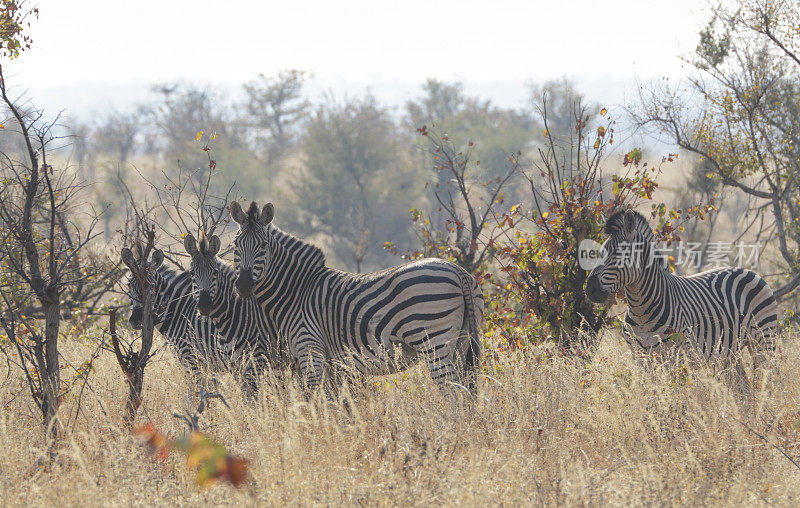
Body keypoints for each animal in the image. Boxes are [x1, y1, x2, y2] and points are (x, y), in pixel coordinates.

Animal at [121, 246, 262, 400]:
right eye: (128, 285)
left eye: (152, 286)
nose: (136, 320)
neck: (178, 313)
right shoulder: (205, 365)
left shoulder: (191, 360)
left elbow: (194, 395)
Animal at [228, 200, 484, 398]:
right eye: (235, 244)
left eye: (263, 245)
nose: (243, 286)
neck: (296, 290)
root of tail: (457, 271)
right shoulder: (331, 362)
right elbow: (336, 403)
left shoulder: (309, 348)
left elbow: (314, 400)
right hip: (462, 342)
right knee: (467, 392)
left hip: (434, 343)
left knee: (454, 394)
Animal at [584, 208, 780, 380]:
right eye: (601, 252)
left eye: (618, 253)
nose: (590, 289)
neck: (641, 310)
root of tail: (748, 271)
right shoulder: (641, 359)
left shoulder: (676, 358)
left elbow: (676, 396)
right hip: (729, 352)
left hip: (763, 340)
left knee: (766, 380)